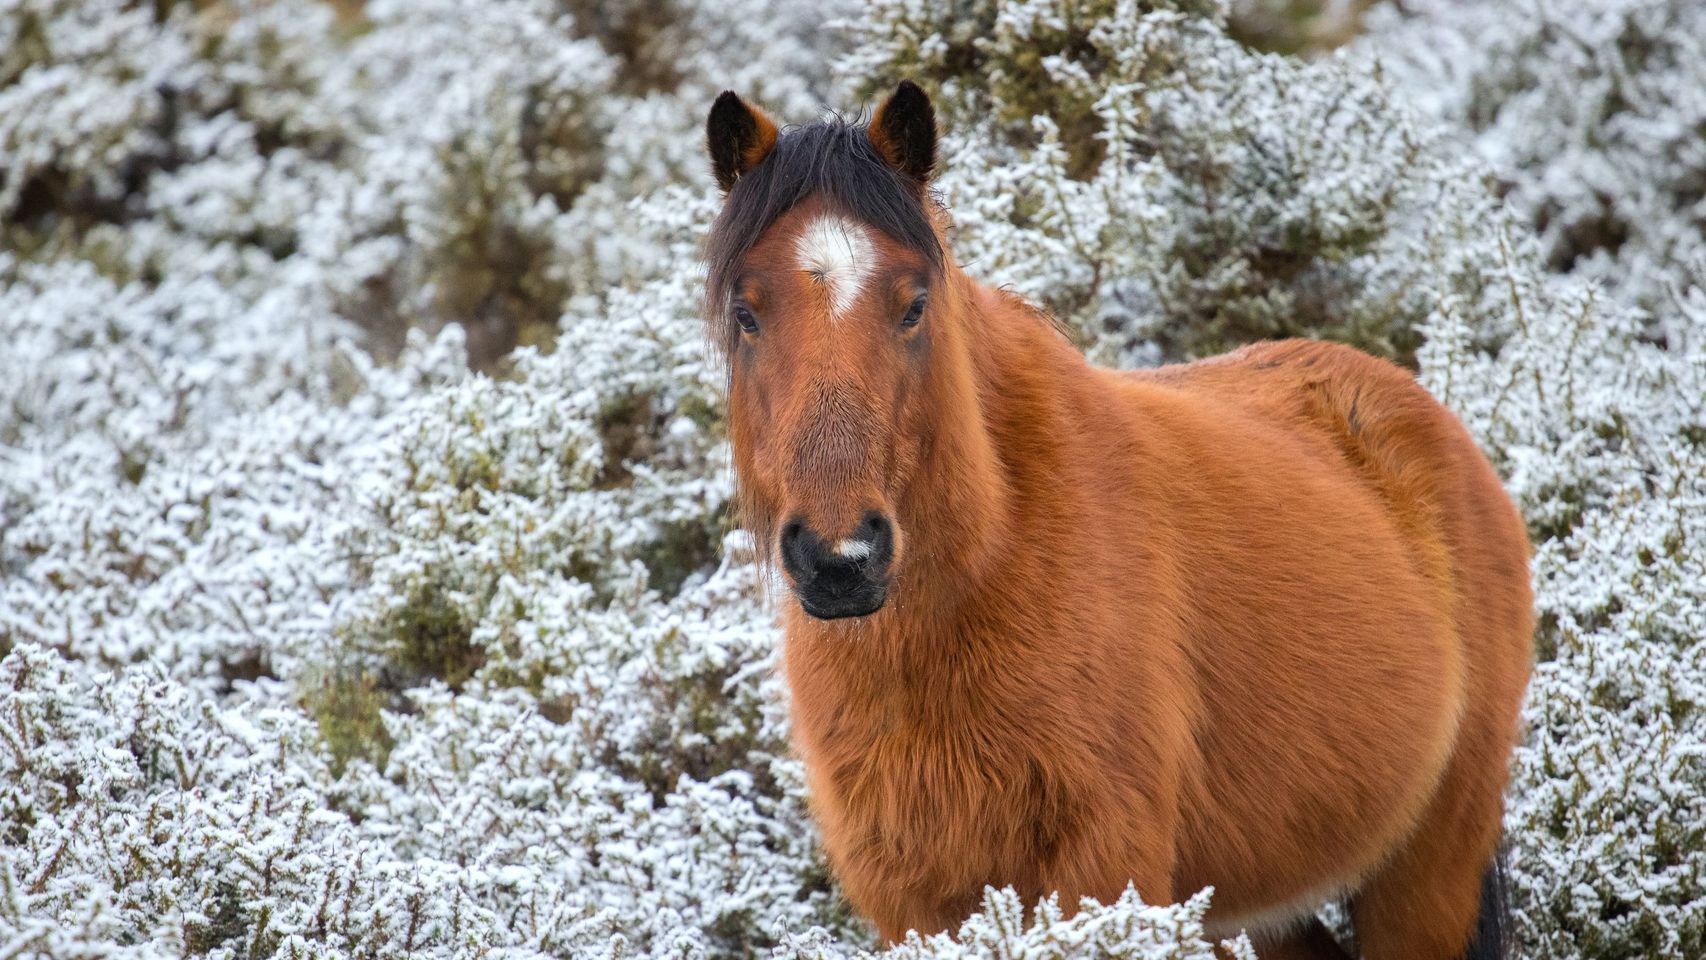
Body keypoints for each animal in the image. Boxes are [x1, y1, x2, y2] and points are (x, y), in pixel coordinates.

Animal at [702, 81, 1533, 960]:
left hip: (1428, 873)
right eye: (747, 314)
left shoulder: (1101, 875)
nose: (840, 558)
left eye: (913, 306)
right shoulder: (914, 905)